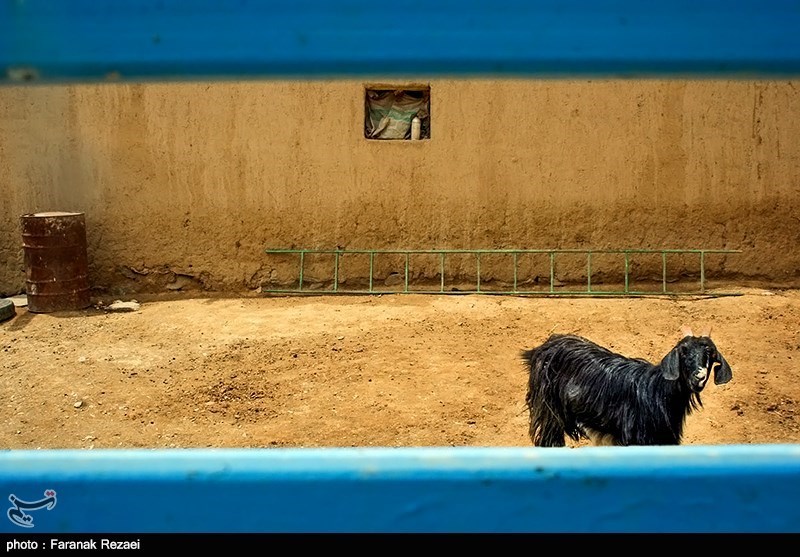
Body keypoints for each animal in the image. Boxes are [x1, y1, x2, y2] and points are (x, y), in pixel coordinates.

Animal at [520, 328, 736, 446]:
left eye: (710, 355)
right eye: (683, 353)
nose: (699, 376)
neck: (657, 391)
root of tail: (543, 348)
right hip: (549, 411)